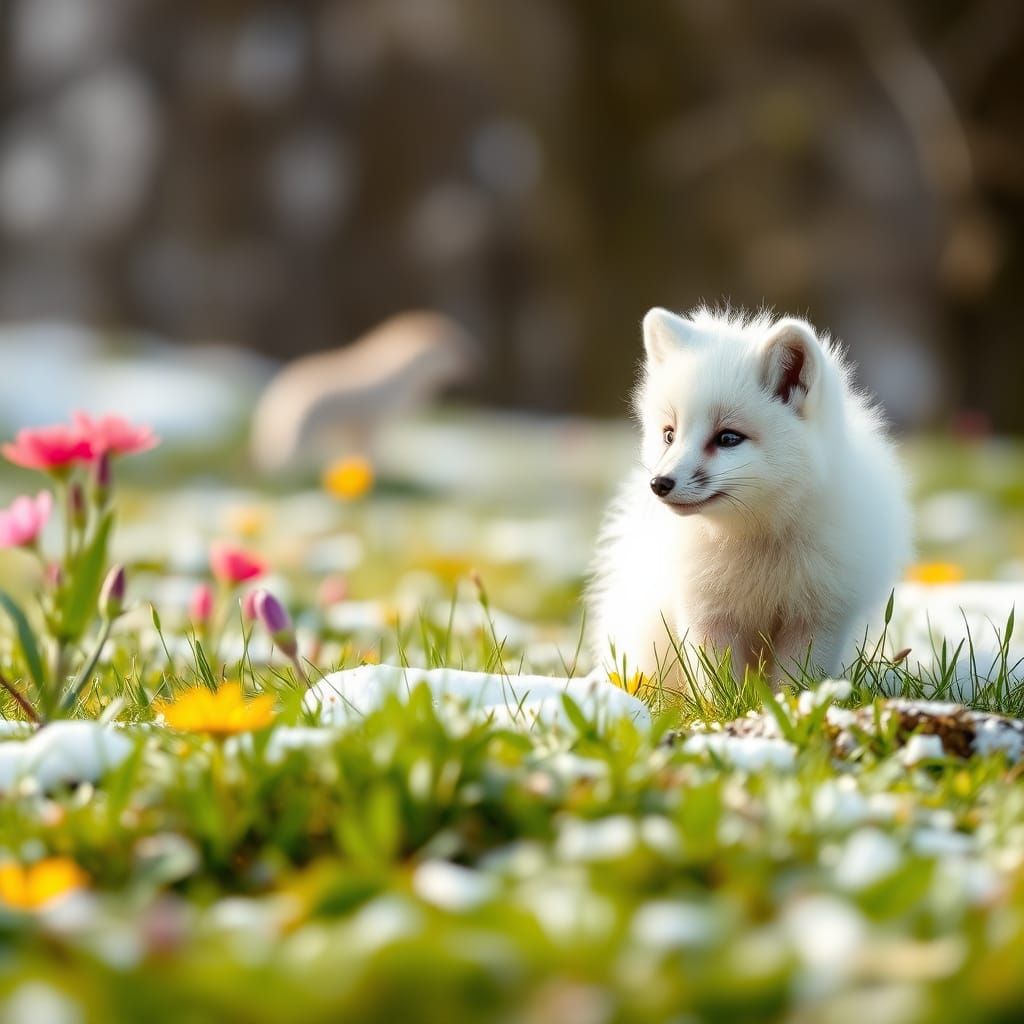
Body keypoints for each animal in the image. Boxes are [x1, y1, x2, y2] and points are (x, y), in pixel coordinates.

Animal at [588, 306, 912, 687]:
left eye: (728, 438)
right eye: (669, 434)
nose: (659, 483)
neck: (755, 541)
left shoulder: (817, 619)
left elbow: (796, 684)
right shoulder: (708, 615)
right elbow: (718, 686)